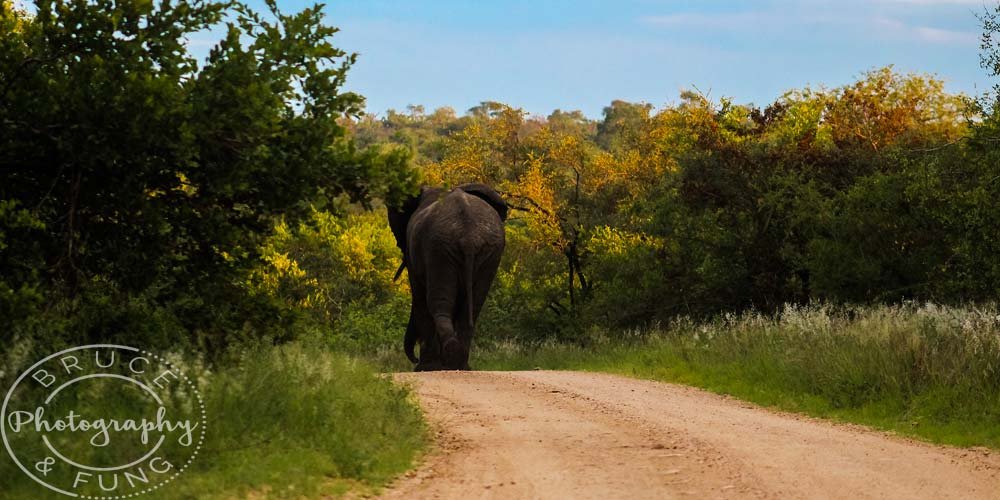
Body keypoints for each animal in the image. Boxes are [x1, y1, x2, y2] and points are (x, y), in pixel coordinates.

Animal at [384, 184, 508, 372]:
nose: (414, 359)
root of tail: (469, 236)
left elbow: (419, 298)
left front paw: (425, 368)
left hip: (439, 249)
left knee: (438, 303)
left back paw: (441, 363)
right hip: (484, 252)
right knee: (472, 306)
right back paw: (459, 364)